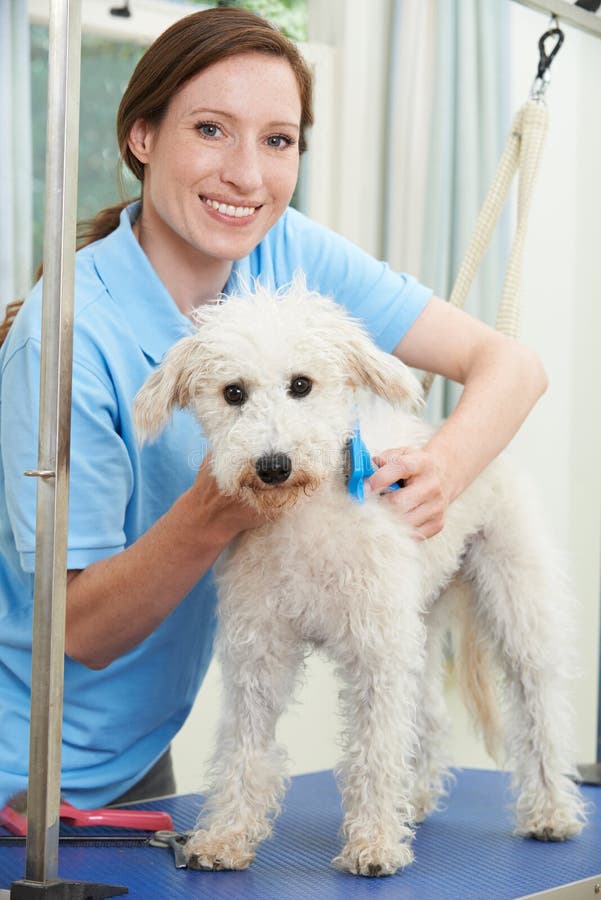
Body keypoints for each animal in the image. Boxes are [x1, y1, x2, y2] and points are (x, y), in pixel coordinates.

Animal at [134, 278, 584, 876]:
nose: (273, 465)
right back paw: (415, 796)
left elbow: (375, 750)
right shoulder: (259, 652)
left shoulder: (377, 653)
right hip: (420, 623)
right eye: (233, 393)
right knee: (429, 716)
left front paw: (373, 844)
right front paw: (226, 835)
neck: (303, 521)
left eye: (302, 384)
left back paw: (551, 810)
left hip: (515, 607)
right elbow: (243, 749)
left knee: (539, 713)